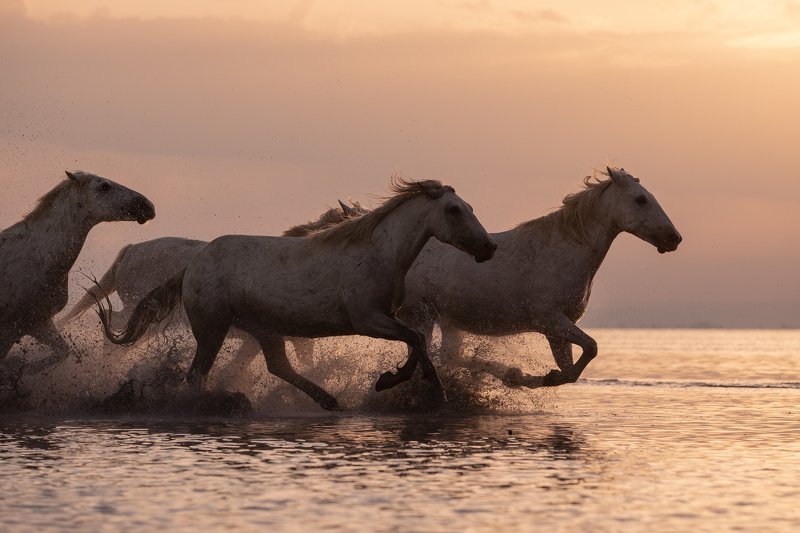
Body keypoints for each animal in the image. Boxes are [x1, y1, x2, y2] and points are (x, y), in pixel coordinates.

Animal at [0, 171, 155, 371]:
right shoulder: (9, 330)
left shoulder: (37, 323)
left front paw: (21, 369)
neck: (33, 258)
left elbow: (62, 352)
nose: (148, 205)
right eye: (104, 186)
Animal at [96, 179, 497, 410]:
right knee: (197, 375)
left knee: (278, 366)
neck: (377, 252)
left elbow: (416, 341)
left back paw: (329, 400)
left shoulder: (388, 317)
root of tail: (193, 264)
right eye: (454, 209)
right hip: (212, 328)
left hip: (261, 329)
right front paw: (434, 391)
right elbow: (416, 339)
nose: (488, 247)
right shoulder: (368, 320)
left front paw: (391, 380)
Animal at [393, 167, 682, 388]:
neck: (564, 251)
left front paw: (533, 378)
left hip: (448, 322)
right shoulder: (550, 320)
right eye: (641, 199)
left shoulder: (558, 330)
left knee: (447, 358)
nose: (674, 238)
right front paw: (533, 377)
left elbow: (571, 368)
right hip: (422, 315)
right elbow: (591, 347)